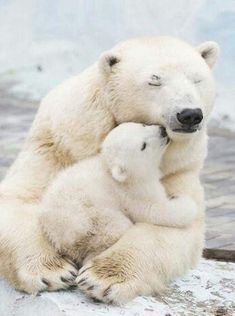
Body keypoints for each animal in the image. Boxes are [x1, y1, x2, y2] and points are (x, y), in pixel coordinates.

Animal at [0, 35, 218, 302]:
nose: (189, 114)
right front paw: (51, 270)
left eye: (197, 79)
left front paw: (102, 278)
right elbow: (19, 199)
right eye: (154, 80)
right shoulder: (57, 145)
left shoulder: (178, 168)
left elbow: (172, 224)